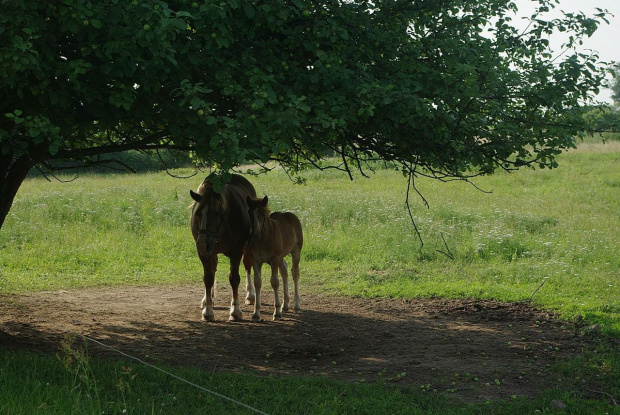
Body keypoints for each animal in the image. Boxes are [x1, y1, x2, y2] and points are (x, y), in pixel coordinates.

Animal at [190, 174, 256, 324]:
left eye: (215, 213)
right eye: (197, 214)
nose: (201, 244)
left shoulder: (237, 252)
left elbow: (234, 279)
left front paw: (235, 311)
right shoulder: (205, 254)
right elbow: (208, 278)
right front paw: (208, 311)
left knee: (247, 266)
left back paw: (250, 295)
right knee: (213, 270)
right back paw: (208, 299)